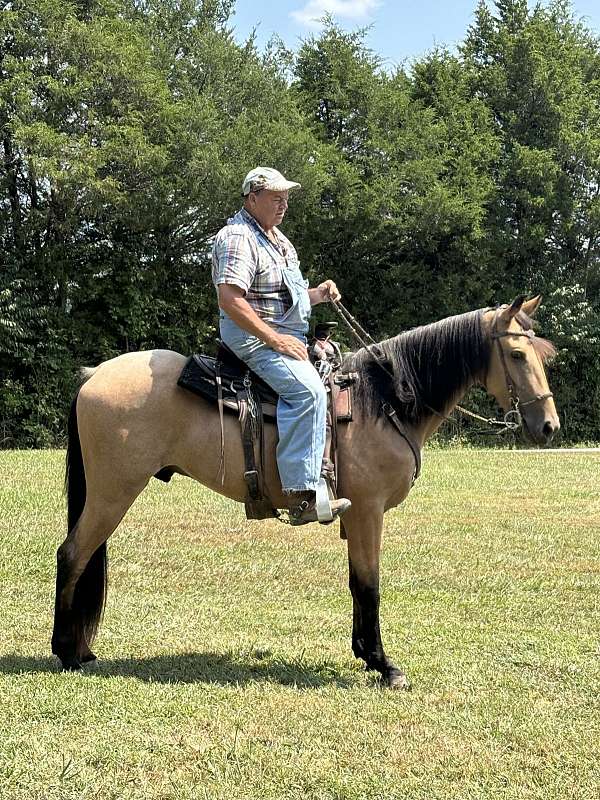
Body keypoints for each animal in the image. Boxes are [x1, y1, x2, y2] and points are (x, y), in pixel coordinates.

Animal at [50, 294, 556, 688]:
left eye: (541, 355)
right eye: (516, 354)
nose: (548, 426)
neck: (385, 402)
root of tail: (95, 375)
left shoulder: (356, 515)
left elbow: (356, 583)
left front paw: (364, 653)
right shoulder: (368, 511)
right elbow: (369, 583)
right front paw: (384, 664)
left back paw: (81, 649)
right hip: (112, 494)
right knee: (73, 554)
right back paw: (67, 651)